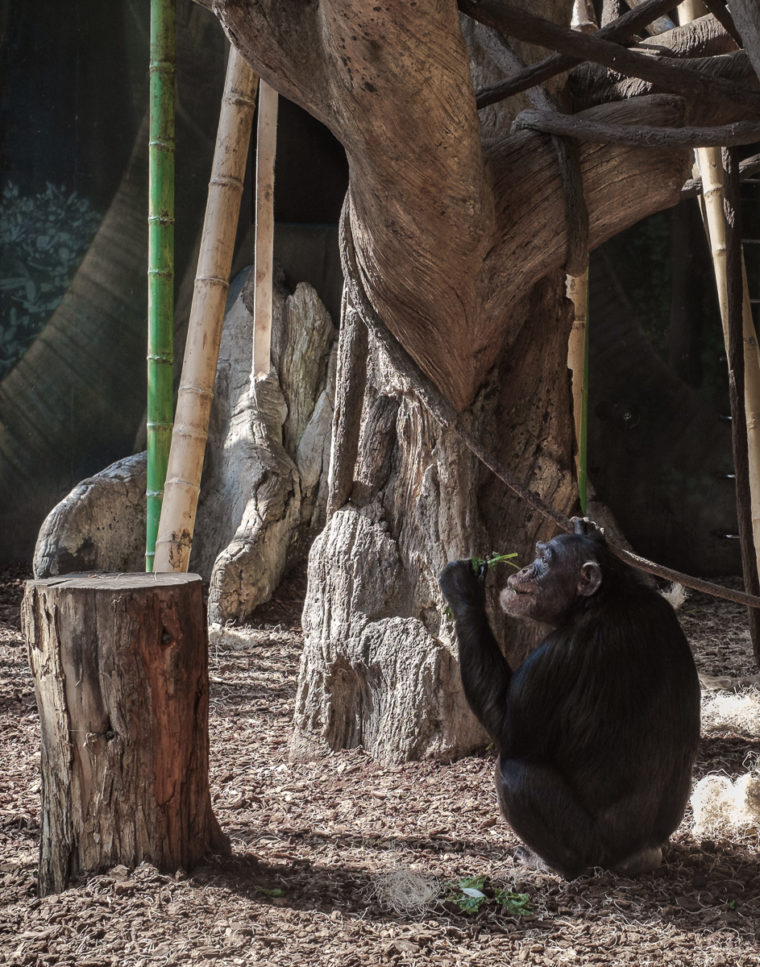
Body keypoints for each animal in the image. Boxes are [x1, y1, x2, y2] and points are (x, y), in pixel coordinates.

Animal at [440, 520, 700, 876]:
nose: (524, 568)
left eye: (544, 560)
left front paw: (464, 587)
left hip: (592, 848)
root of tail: (641, 855)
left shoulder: (556, 656)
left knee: (515, 772)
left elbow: (508, 729)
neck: (597, 602)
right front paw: (589, 531)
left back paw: (549, 862)